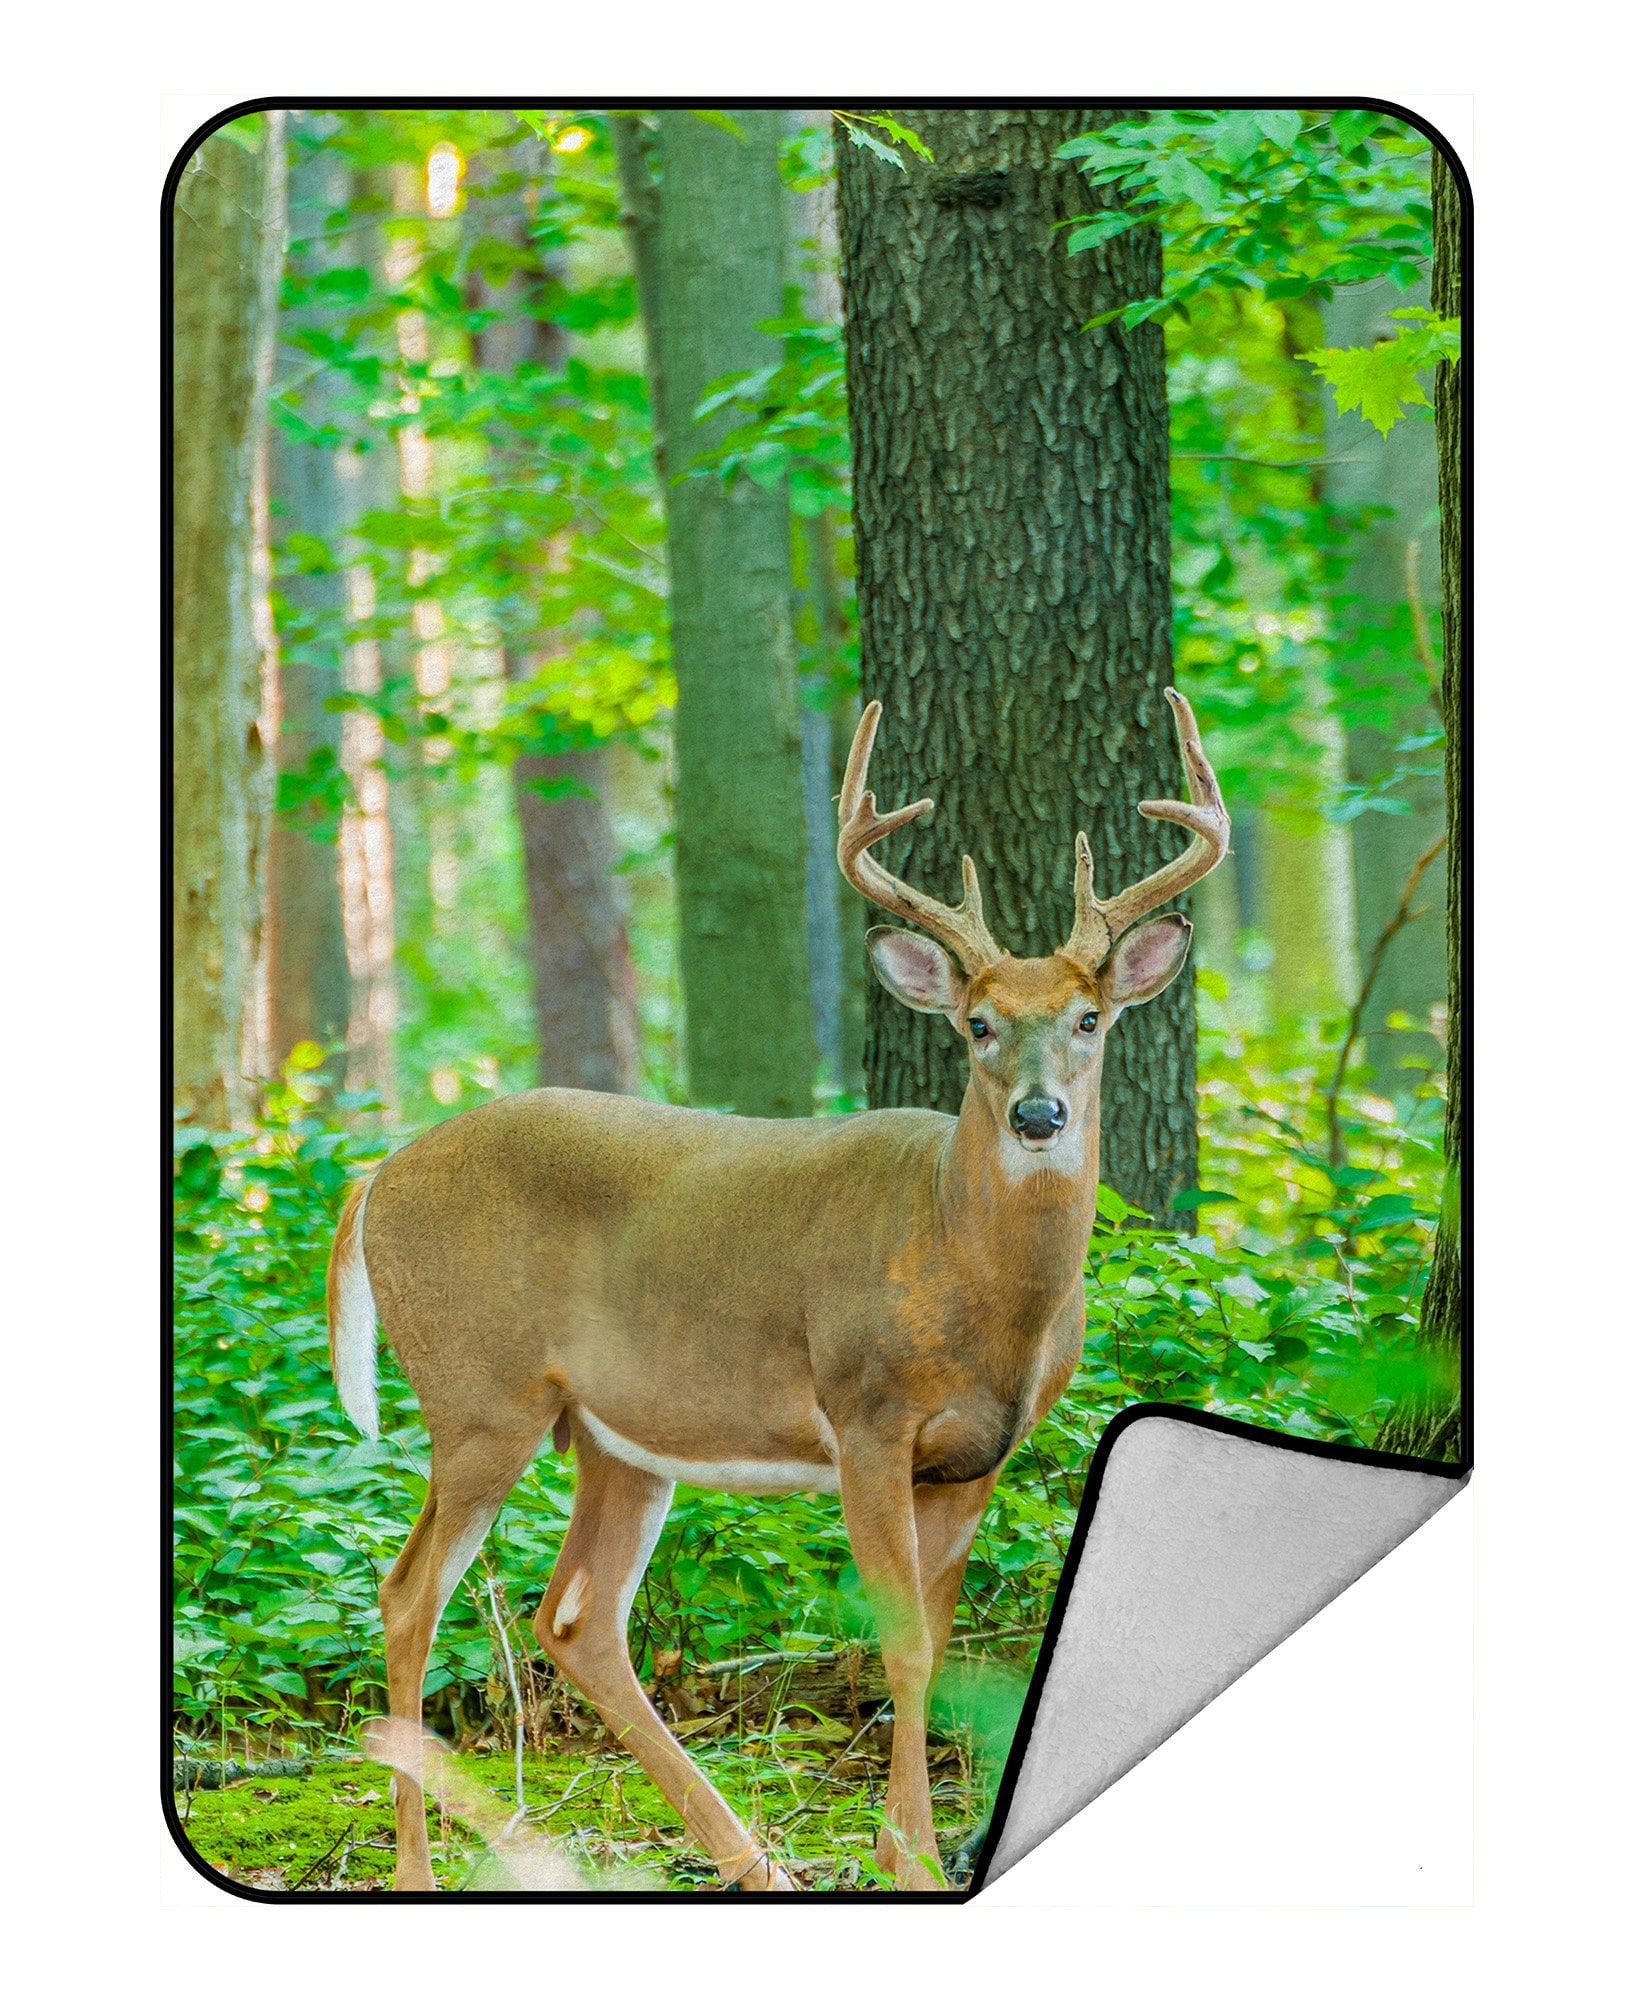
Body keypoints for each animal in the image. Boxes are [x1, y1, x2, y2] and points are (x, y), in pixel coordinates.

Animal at [326, 687, 1229, 1894]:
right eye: (978, 1023)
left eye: (1089, 1019)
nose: (1039, 1115)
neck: (969, 1273)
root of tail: (376, 1175)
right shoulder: (867, 1415)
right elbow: (902, 1640)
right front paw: (915, 1860)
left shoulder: (978, 1453)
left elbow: (938, 1641)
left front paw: (899, 1846)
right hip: (479, 1393)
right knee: (408, 1592)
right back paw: (421, 1869)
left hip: (616, 1433)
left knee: (576, 1618)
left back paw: (752, 1861)